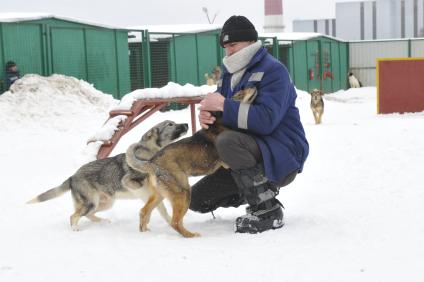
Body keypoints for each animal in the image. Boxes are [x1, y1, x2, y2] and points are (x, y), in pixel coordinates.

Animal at [27, 120, 188, 230]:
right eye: (170, 124)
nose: (186, 124)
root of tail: (73, 176)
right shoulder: (129, 182)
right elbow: (144, 194)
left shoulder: (155, 197)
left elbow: (163, 212)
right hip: (91, 203)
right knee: (74, 216)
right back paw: (75, 228)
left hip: (105, 203)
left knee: (87, 215)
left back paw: (102, 222)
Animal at [126, 87, 256, 237]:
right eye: (239, 95)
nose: (253, 86)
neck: (220, 122)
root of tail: (152, 163)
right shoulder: (225, 163)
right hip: (183, 192)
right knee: (175, 222)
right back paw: (191, 235)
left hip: (159, 195)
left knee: (144, 212)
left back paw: (145, 233)